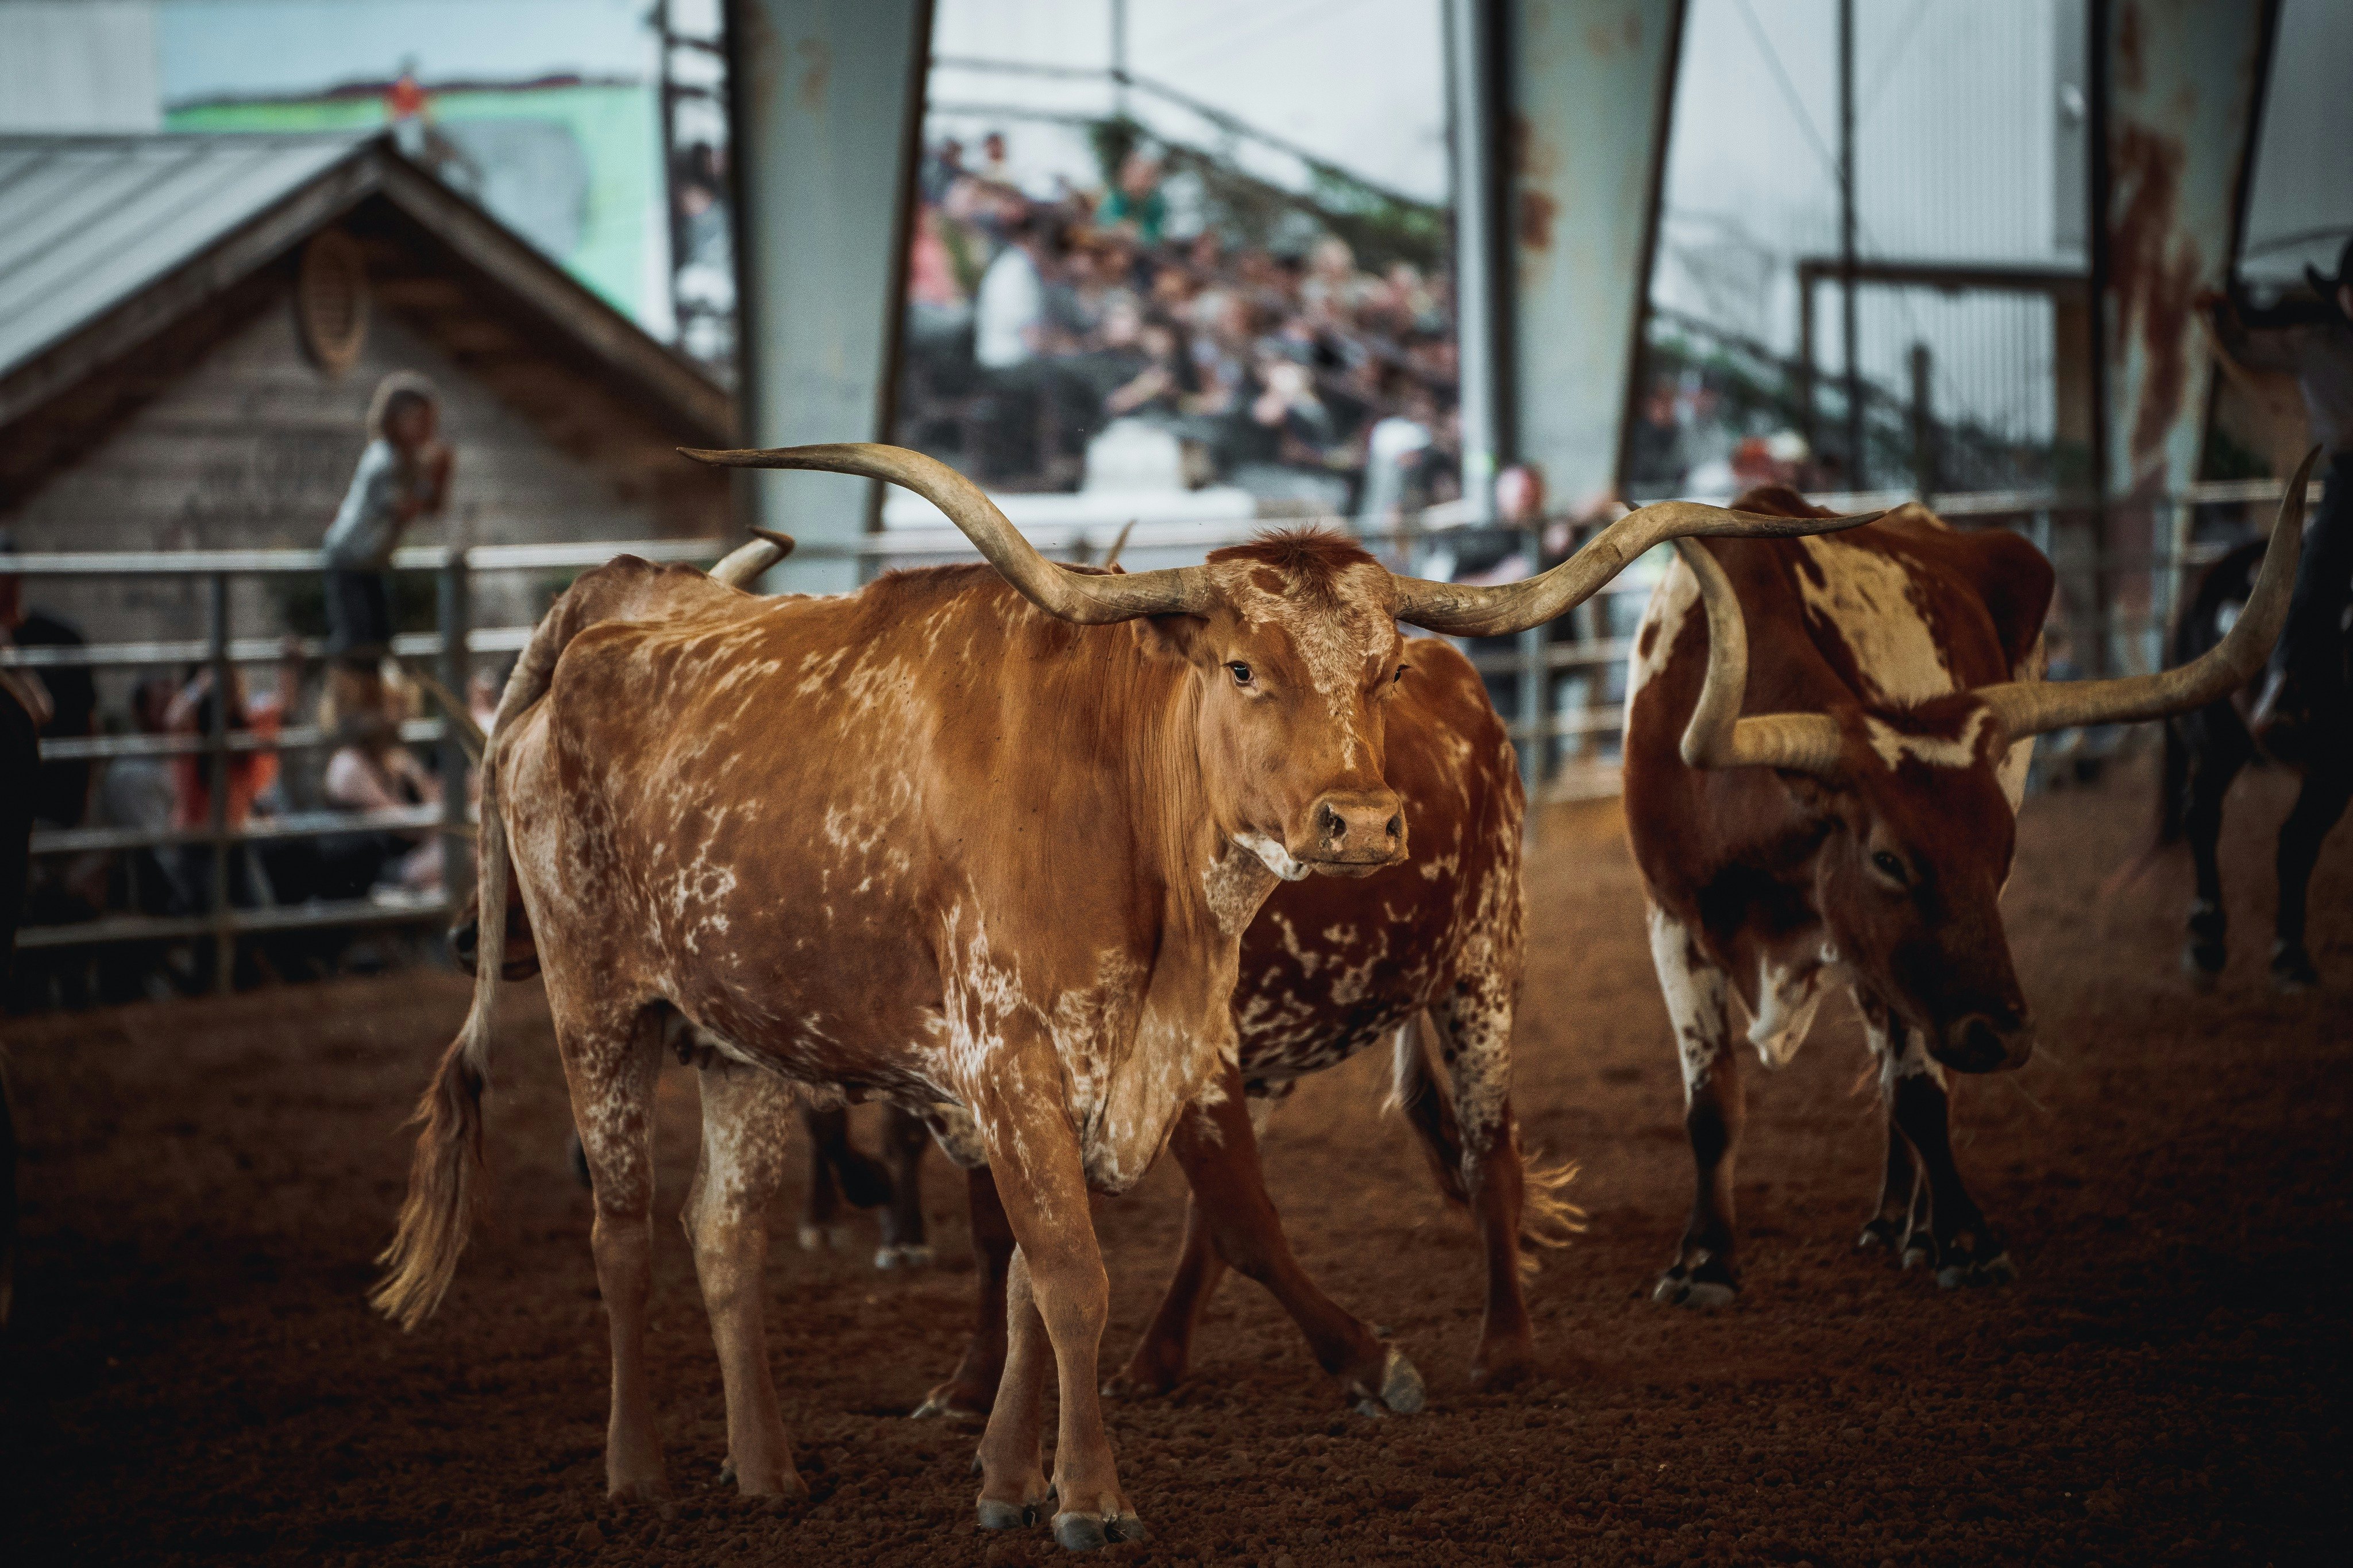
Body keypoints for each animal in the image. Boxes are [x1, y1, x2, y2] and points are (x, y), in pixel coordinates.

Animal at [375, 440, 1865, 1549]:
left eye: (1378, 670)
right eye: (1243, 667)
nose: (1363, 823)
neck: (1123, 820)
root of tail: (595, 634)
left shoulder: (1127, 1064)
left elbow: (1045, 1275)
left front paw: (1006, 1479)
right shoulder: (1007, 1065)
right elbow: (1069, 1273)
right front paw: (1085, 1498)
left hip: (737, 1040)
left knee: (722, 1237)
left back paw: (769, 1473)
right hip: (599, 1014)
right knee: (621, 1235)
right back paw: (638, 1479)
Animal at [1620, 469, 2304, 1306]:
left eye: (1999, 853)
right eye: (1888, 858)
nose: (2003, 1036)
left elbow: (1919, 1090)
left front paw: (1962, 1236)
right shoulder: (1674, 916)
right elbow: (1712, 1100)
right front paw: (1703, 1259)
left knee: (1904, 1066)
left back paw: (1913, 1227)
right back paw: (1888, 1220)